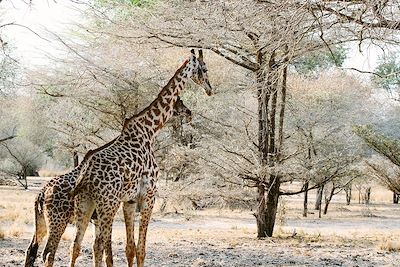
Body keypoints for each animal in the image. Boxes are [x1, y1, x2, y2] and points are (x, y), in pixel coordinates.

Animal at [24, 97, 193, 267]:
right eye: (180, 101)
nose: (188, 112)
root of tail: (41, 193)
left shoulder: (98, 219)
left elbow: (99, 249)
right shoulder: (106, 213)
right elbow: (106, 251)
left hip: (42, 221)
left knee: (32, 249)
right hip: (58, 221)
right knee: (48, 253)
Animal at [69, 50, 212, 267]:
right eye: (204, 69)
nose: (210, 89)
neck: (150, 130)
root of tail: (85, 175)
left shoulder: (129, 200)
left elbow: (130, 248)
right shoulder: (149, 195)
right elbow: (141, 250)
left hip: (85, 203)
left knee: (76, 246)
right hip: (107, 204)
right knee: (98, 245)